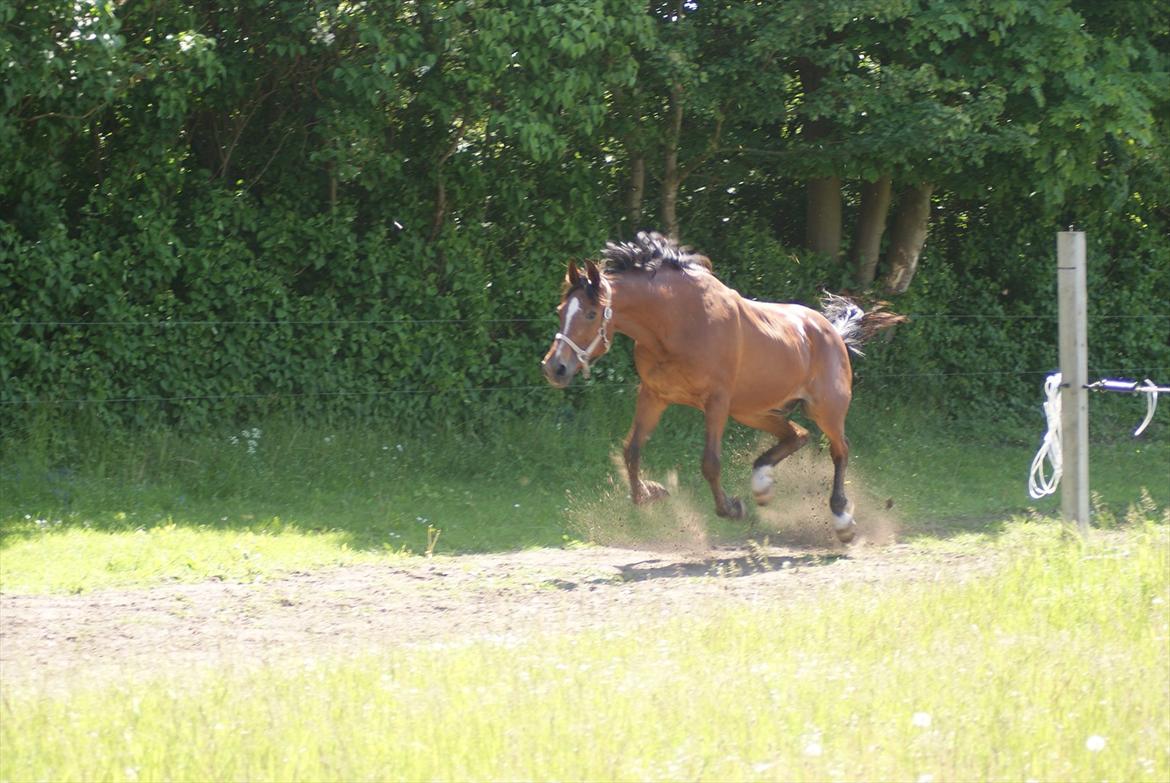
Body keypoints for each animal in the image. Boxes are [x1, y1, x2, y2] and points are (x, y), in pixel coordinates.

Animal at [538, 229, 903, 540]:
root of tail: (831, 332)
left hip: (825, 408)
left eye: (590, 313)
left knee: (839, 450)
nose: (555, 368)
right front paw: (653, 493)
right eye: (560, 309)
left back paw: (842, 520)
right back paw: (762, 485)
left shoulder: (716, 401)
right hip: (751, 410)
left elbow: (710, 463)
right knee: (797, 435)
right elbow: (632, 450)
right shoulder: (654, 395)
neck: (678, 322)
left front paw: (731, 508)